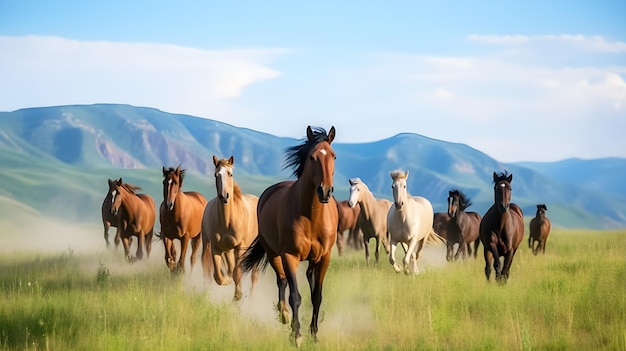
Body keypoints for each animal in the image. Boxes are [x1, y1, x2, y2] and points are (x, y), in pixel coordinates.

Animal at [200, 156, 258, 302]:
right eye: (216, 175)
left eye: (230, 174)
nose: (224, 196)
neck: (228, 220)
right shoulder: (216, 247)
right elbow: (219, 276)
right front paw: (228, 281)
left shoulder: (240, 247)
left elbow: (237, 273)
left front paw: (237, 297)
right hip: (223, 248)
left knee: (254, 276)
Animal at [239, 126, 336, 346]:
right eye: (313, 157)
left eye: (333, 156)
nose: (325, 191)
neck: (311, 217)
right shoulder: (290, 256)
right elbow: (295, 296)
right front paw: (296, 335)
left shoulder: (324, 258)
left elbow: (317, 296)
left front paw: (314, 335)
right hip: (273, 253)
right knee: (281, 281)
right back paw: (283, 314)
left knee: (308, 279)